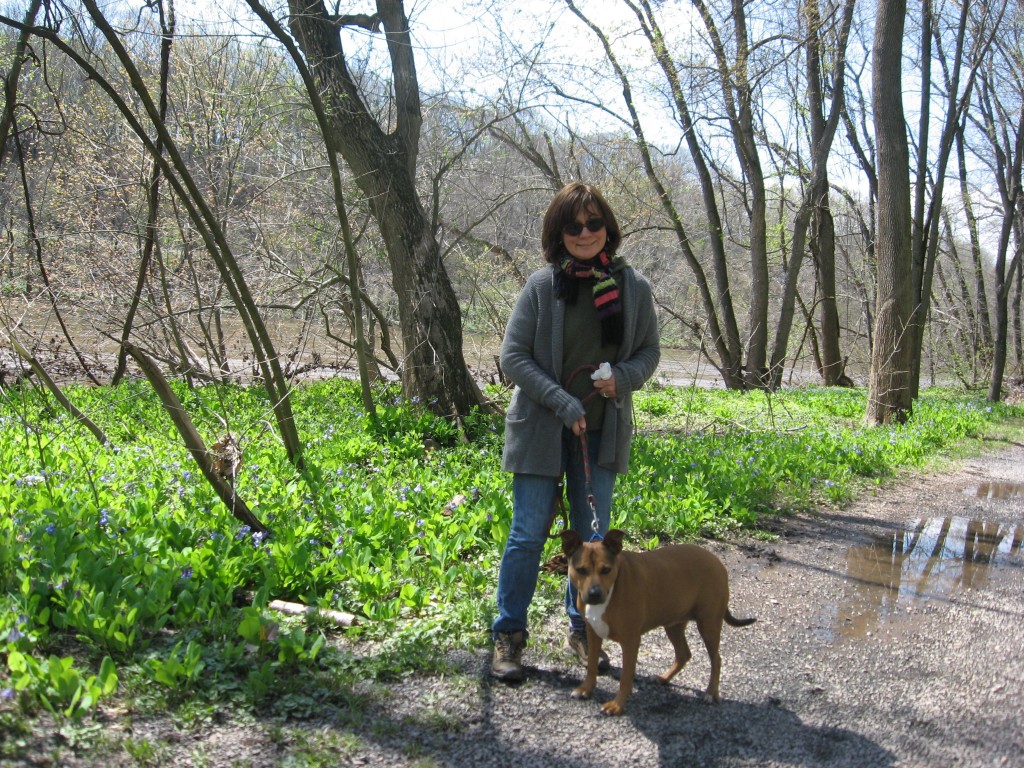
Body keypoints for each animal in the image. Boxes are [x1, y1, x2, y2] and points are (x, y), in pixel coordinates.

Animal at [561, 528, 753, 716]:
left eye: (606, 570)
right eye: (581, 570)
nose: (594, 594)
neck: (613, 587)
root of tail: (716, 560)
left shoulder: (630, 641)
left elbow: (625, 678)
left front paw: (617, 705)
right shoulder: (593, 633)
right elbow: (592, 665)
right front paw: (586, 689)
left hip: (708, 625)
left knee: (716, 659)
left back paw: (711, 693)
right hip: (673, 624)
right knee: (684, 654)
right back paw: (663, 678)